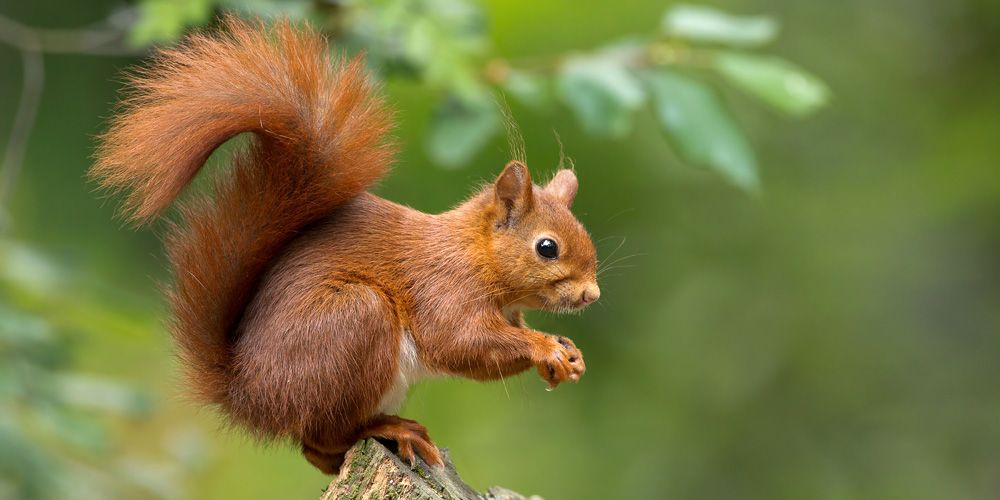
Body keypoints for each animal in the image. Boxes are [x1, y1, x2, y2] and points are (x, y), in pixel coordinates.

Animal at [91, 16, 600, 474]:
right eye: (547, 247)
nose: (591, 294)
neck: (475, 255)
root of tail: (248, 396)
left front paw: (567, 355)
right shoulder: (443, 288)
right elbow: (460, 343)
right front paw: (546, 348)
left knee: (315, 452)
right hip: (354, 321)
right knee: (322, 436)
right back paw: (390, 429)